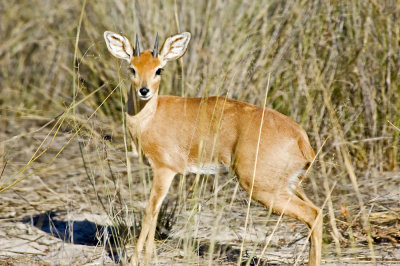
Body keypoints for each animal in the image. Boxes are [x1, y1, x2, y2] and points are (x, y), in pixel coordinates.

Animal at [104, 30, 322, 264]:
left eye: (158, 69)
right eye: (132, 68)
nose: (144, 91)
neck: (150, 117)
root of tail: (301, 137)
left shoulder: (164, 169)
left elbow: (149, 212)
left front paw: (136, 261)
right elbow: (155, 213)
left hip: (263, 188)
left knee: (313, 216)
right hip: (291, 185)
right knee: (318, 212)